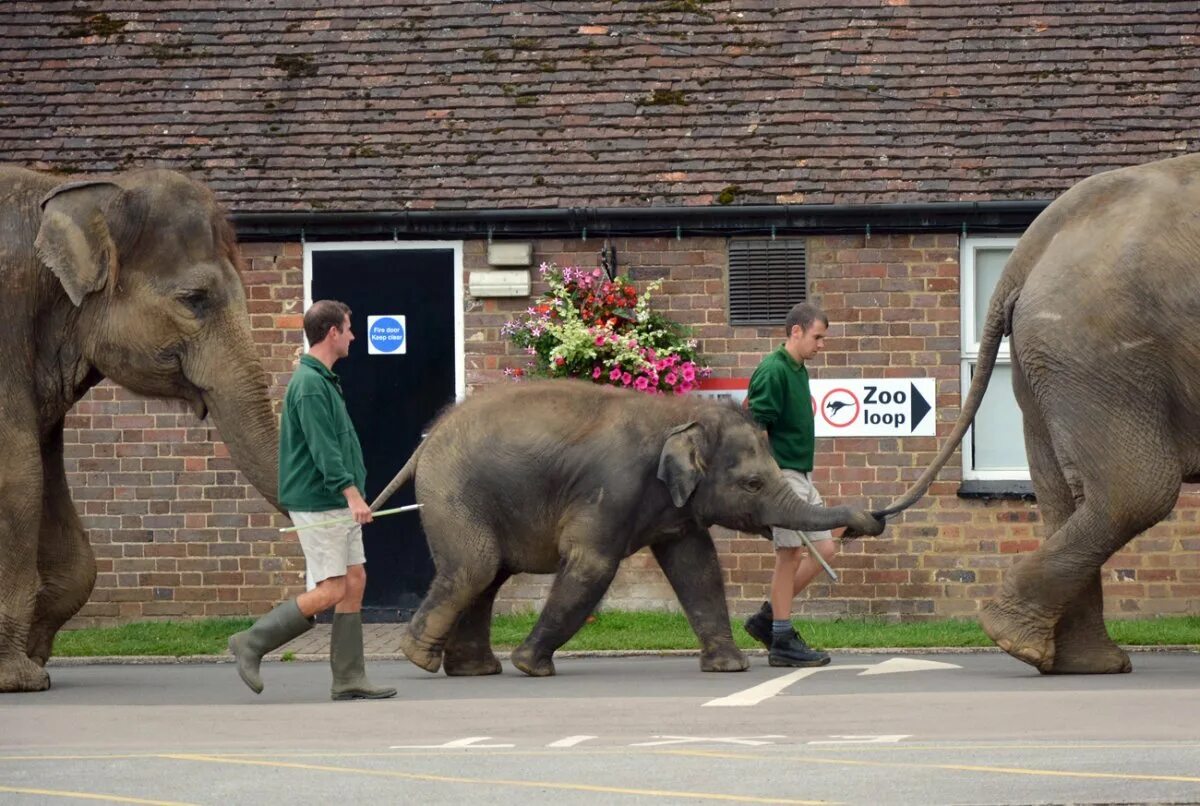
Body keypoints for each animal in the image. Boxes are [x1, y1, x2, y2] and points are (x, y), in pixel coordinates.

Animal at [369, 381, 888, 676]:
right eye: (753, 483)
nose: (871, 520)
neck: (674, 414)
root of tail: (428, 439)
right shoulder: (611, 487)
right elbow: (592, 566)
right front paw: (531, 667)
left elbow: (698, 567)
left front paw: (729, 668)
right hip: (453, 493)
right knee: (476, 568)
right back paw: (421, 658)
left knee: (488, 576)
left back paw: (476, 671)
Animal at [878, 151, 1200, 671]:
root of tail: (1031, 249)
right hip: (1097, 350)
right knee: (1138, 489)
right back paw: (1020, 640)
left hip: (1050, 361)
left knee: (1066, 497)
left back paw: (1069, 659)